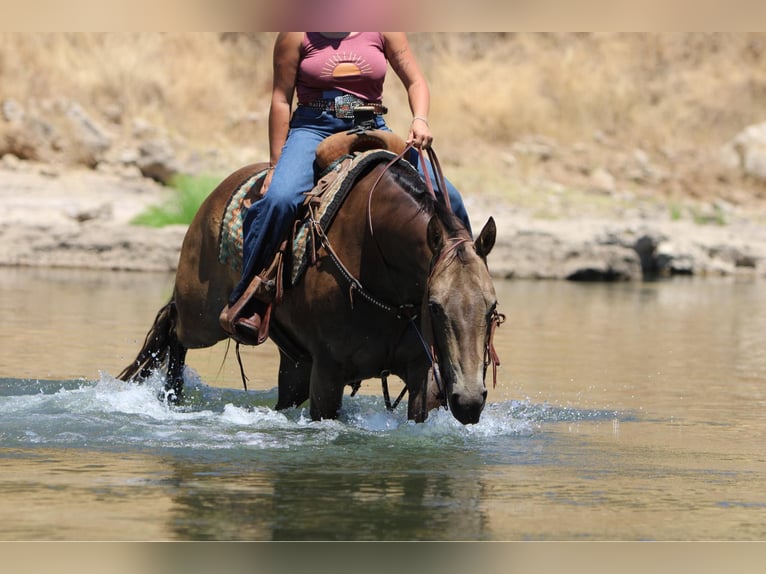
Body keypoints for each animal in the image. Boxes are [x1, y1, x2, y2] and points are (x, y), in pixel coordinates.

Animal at [118, 133, 504, 426]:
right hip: (203, 318)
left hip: (294, 361)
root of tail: (211, 198)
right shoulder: (328, 375)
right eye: (435, 307)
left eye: (492, 308)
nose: (469, 402)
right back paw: (171, 399)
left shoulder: (420, 373)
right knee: (174, 330)